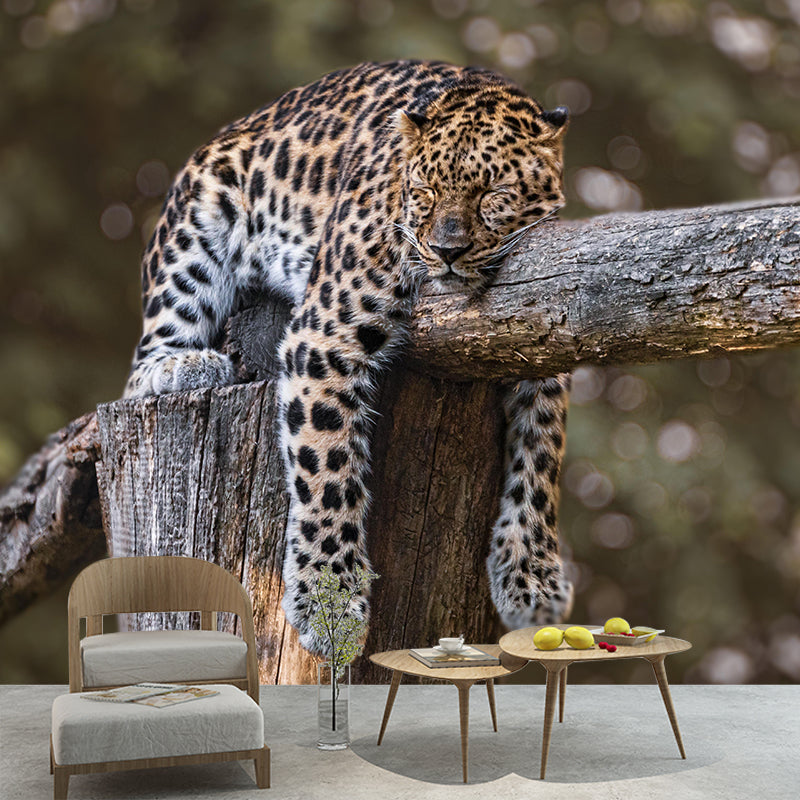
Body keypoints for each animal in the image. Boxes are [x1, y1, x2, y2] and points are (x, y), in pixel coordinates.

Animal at [124, 60, 574, 652]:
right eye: (426, 190)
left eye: (493, 192)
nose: (447, 251)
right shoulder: (323, 337)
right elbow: (328, 467)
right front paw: (329, 602)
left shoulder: (544, 344)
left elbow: (541, 461)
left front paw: (531, 579)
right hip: (194, 230)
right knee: (141, 367)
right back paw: (187, 366)